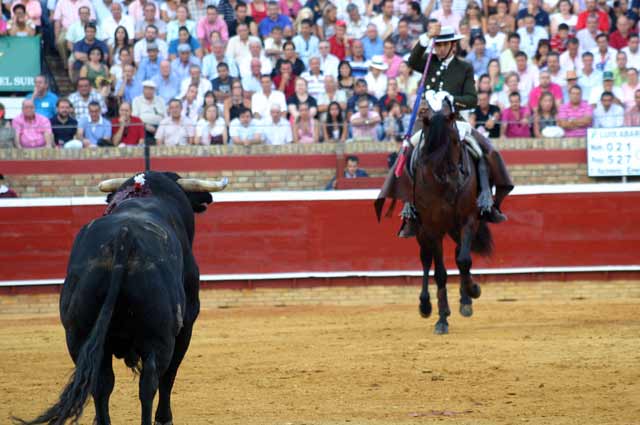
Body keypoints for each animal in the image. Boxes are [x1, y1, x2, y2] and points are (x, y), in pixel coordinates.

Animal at [13, 170, 224, 424]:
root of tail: (124, 237)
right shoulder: (187, 324)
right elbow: (170, 376)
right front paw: (164, 417)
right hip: (158, 338)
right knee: (150, 383)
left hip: (77, 335)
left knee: (100, 383)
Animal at [376, 101, 496, 332]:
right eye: (430, 146)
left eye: (456, 140)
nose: (455, 176)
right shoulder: (432, 228)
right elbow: (440, 272)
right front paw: (442, 319)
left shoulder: (468, 220)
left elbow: (464, 259)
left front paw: (472, 291)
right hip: (422, 232)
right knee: (426, 260)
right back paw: (426, 305)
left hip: (456, 228)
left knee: (458, 253)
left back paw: (465, 299)